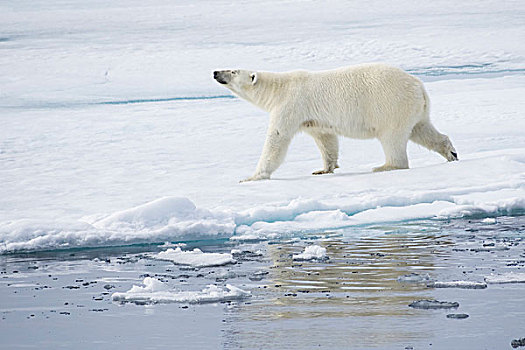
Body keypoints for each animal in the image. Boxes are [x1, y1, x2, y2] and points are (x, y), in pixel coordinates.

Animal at [212, 64, 454, 182]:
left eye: (233, 71)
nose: (215, 72)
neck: (278, 88)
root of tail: (418, 85)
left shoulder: (291, 105)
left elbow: (277, 139)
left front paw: (252, 177)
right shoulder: (313, 119)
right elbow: (326, 139)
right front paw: (324, 169)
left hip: (390, 105)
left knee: (392, 137)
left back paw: (386, 166)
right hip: (415, 109)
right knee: (422, 130)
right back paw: (451, 152)